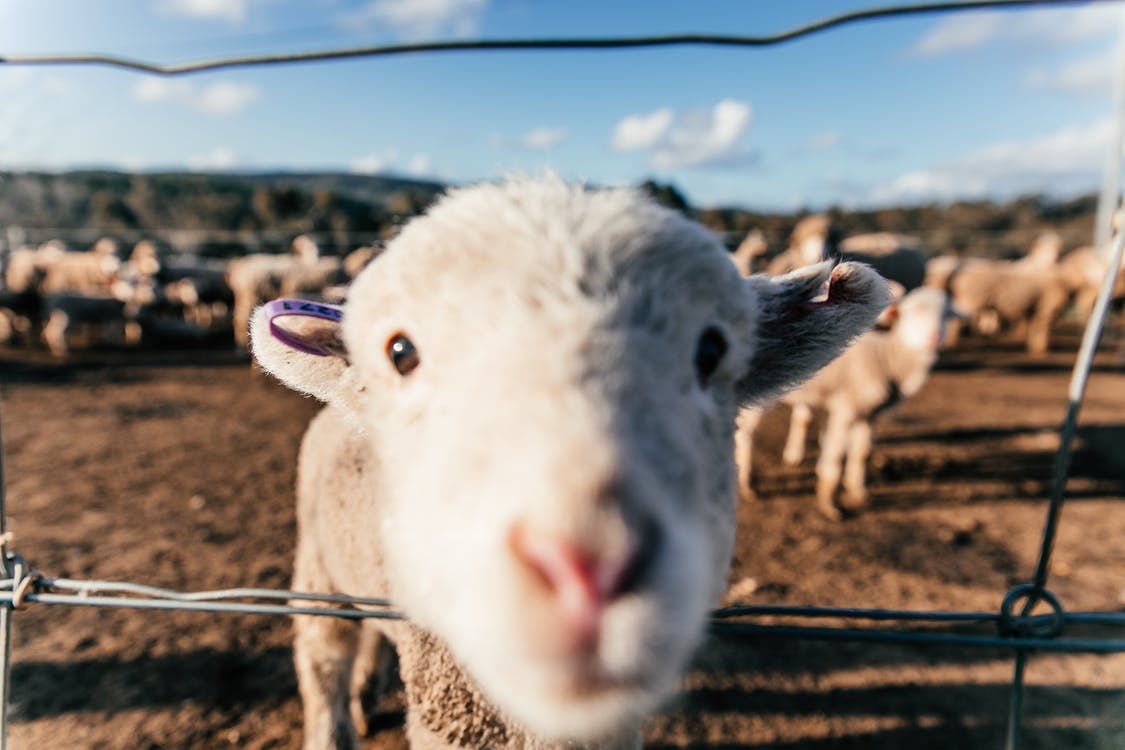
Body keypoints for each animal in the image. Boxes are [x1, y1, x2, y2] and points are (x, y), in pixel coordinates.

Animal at [734, 287, 955, 521]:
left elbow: (863, 453)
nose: (934, 338)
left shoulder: (869, 412)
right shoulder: (846, 406)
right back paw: (747, 484)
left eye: (946, 315)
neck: (886, 356)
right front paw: (830, 505)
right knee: (745, 434)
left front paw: (859, 492)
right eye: (912, 313)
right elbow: (836, 457)